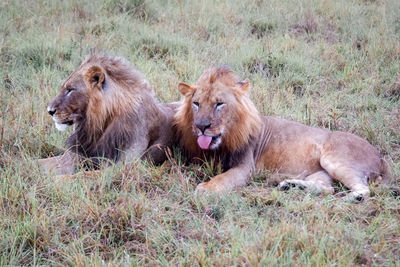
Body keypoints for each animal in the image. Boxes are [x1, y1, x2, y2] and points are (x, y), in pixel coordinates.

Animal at [38, 54, 177, 176]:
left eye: (70, 89)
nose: (49, 111)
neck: (98, 127)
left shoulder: (125, 167)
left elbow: (81, 176)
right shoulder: (74, 157)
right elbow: (39, 163)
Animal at [173, 67, 390, 201]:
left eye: (219, 104)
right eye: (196, 103)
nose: (201, 126)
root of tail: (380, 157)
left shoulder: (245, 168)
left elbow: (223, 179)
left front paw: (205, 189)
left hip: (335, 160)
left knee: (363, 188)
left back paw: (350, 198)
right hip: (321, 173)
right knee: (327, 188)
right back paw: (290, 185)